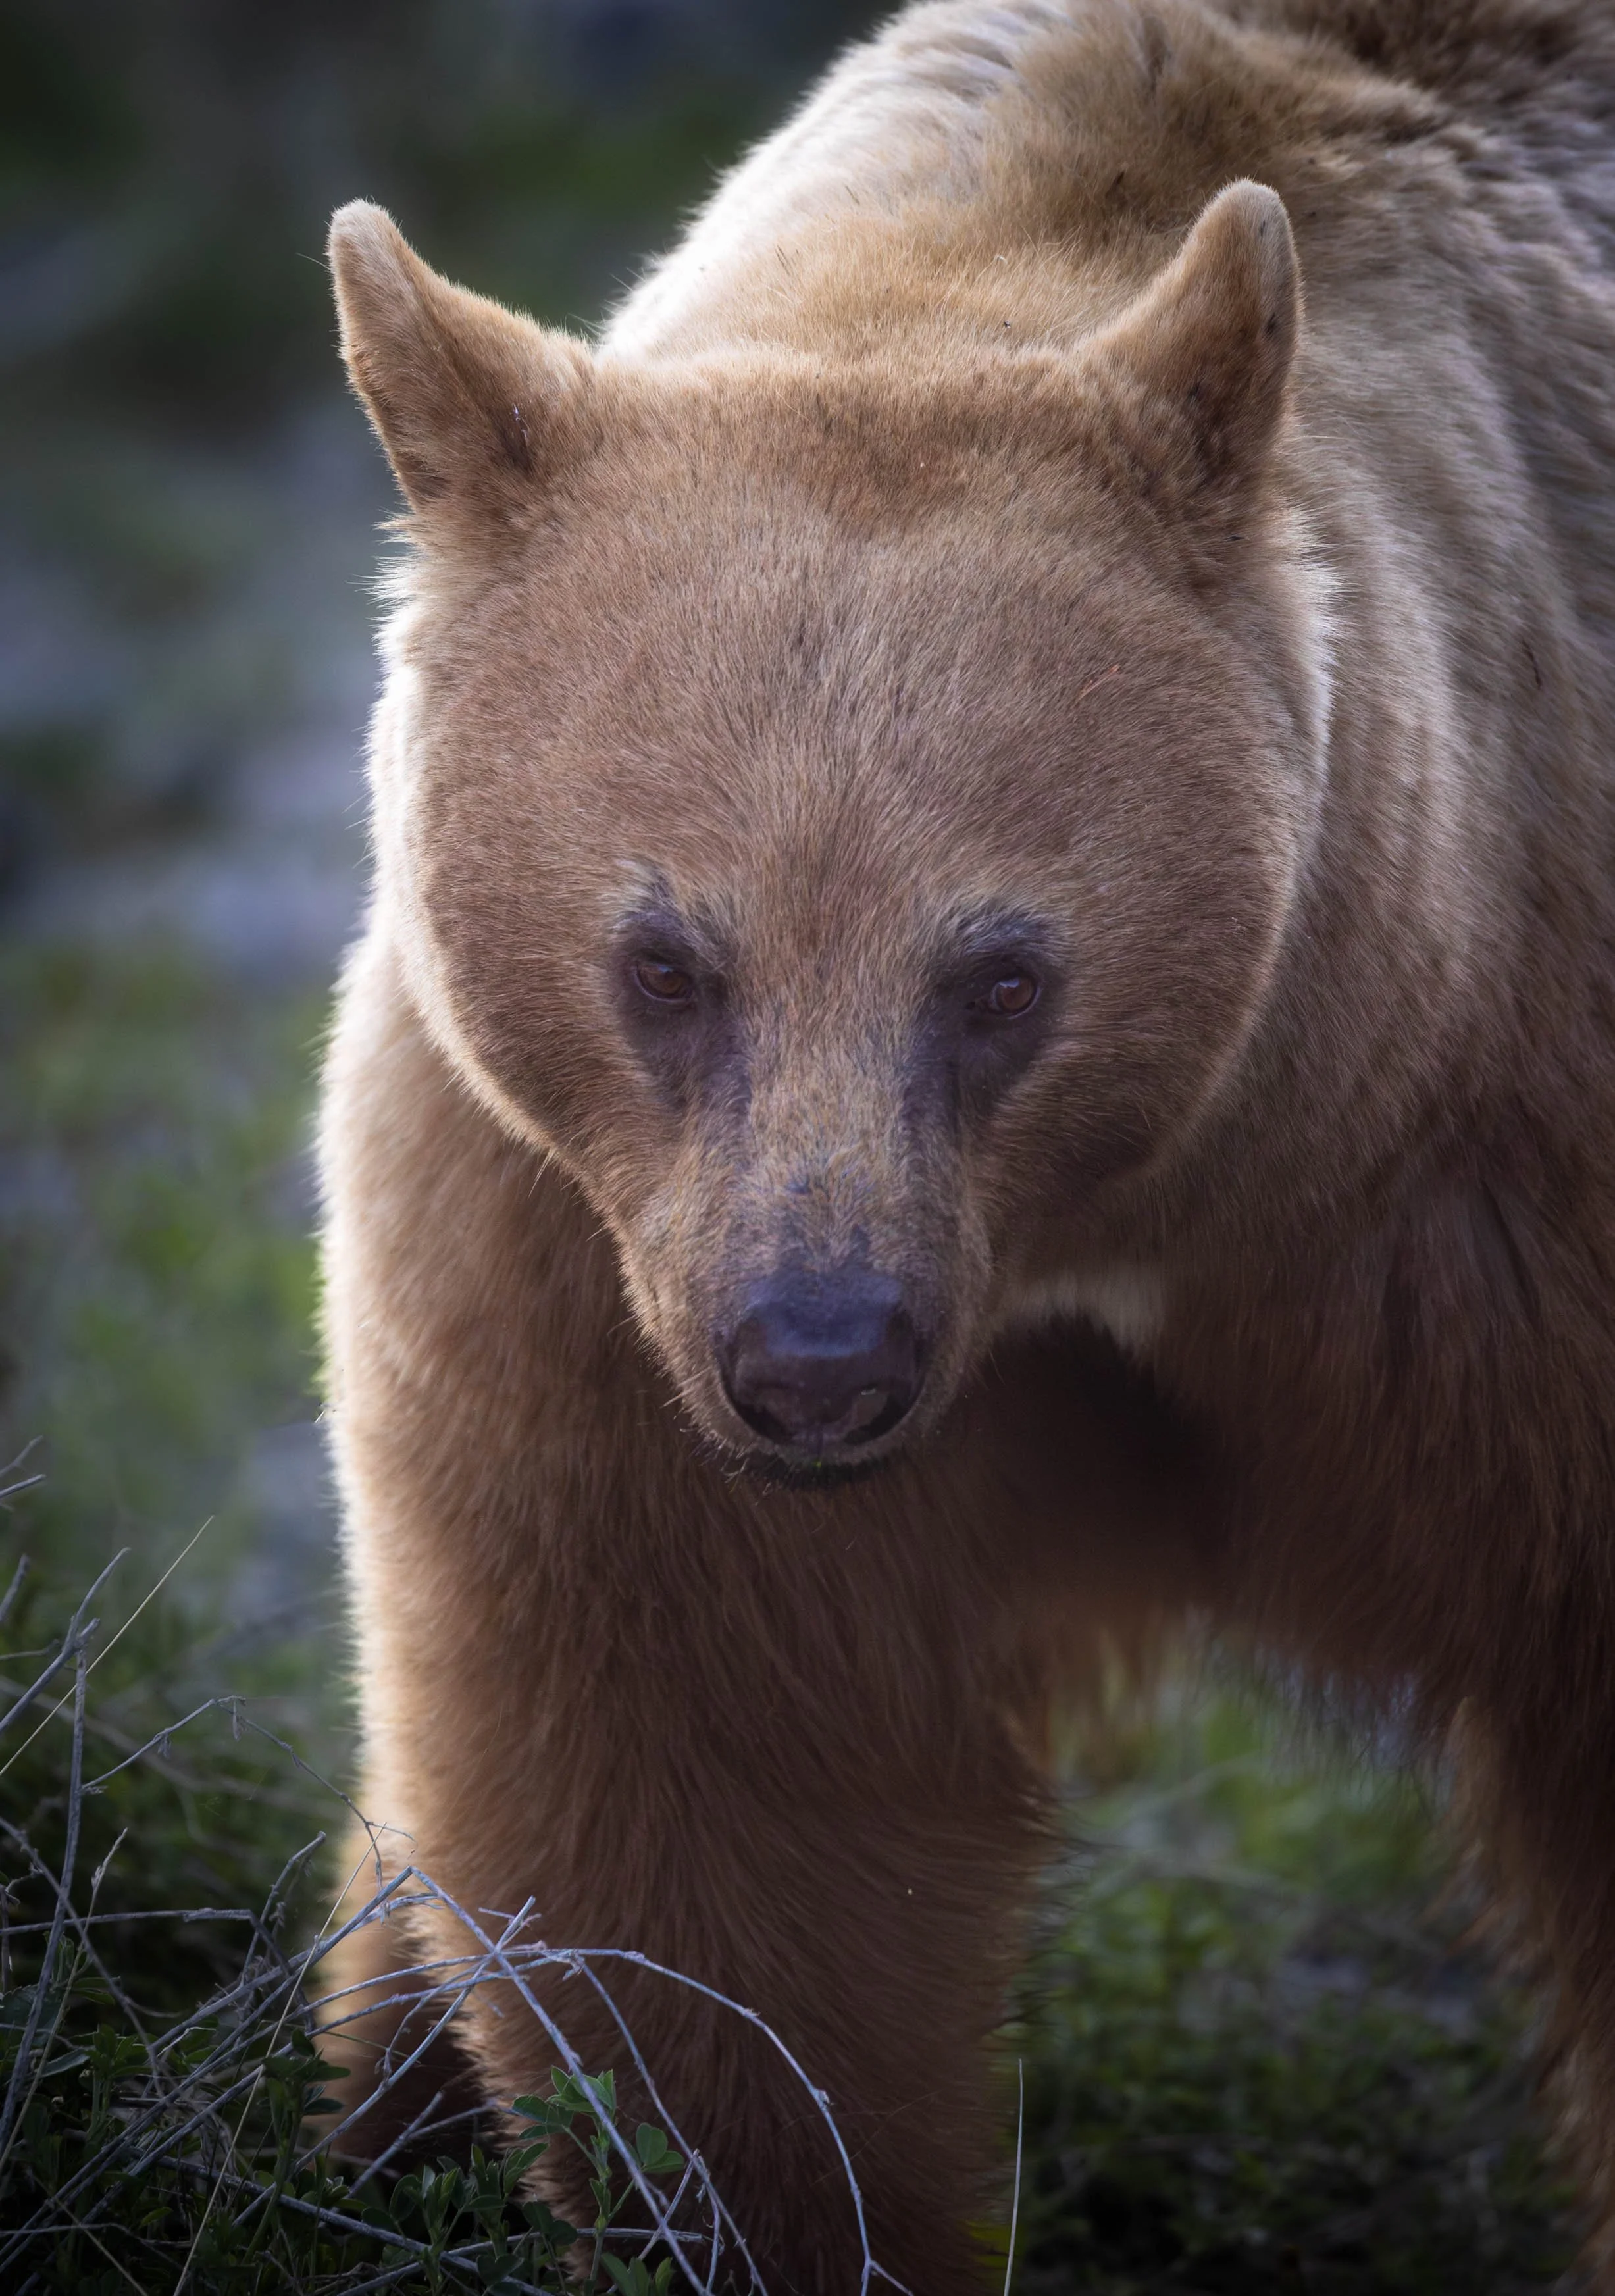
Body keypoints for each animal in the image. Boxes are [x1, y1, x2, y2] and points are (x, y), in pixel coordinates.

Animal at [318, 0, 1615, 2287]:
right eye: (665, 960)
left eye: (1000, 972)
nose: (817, 1356)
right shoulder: (577, 1260)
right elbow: (710, 1820)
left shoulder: (1492, 1182)